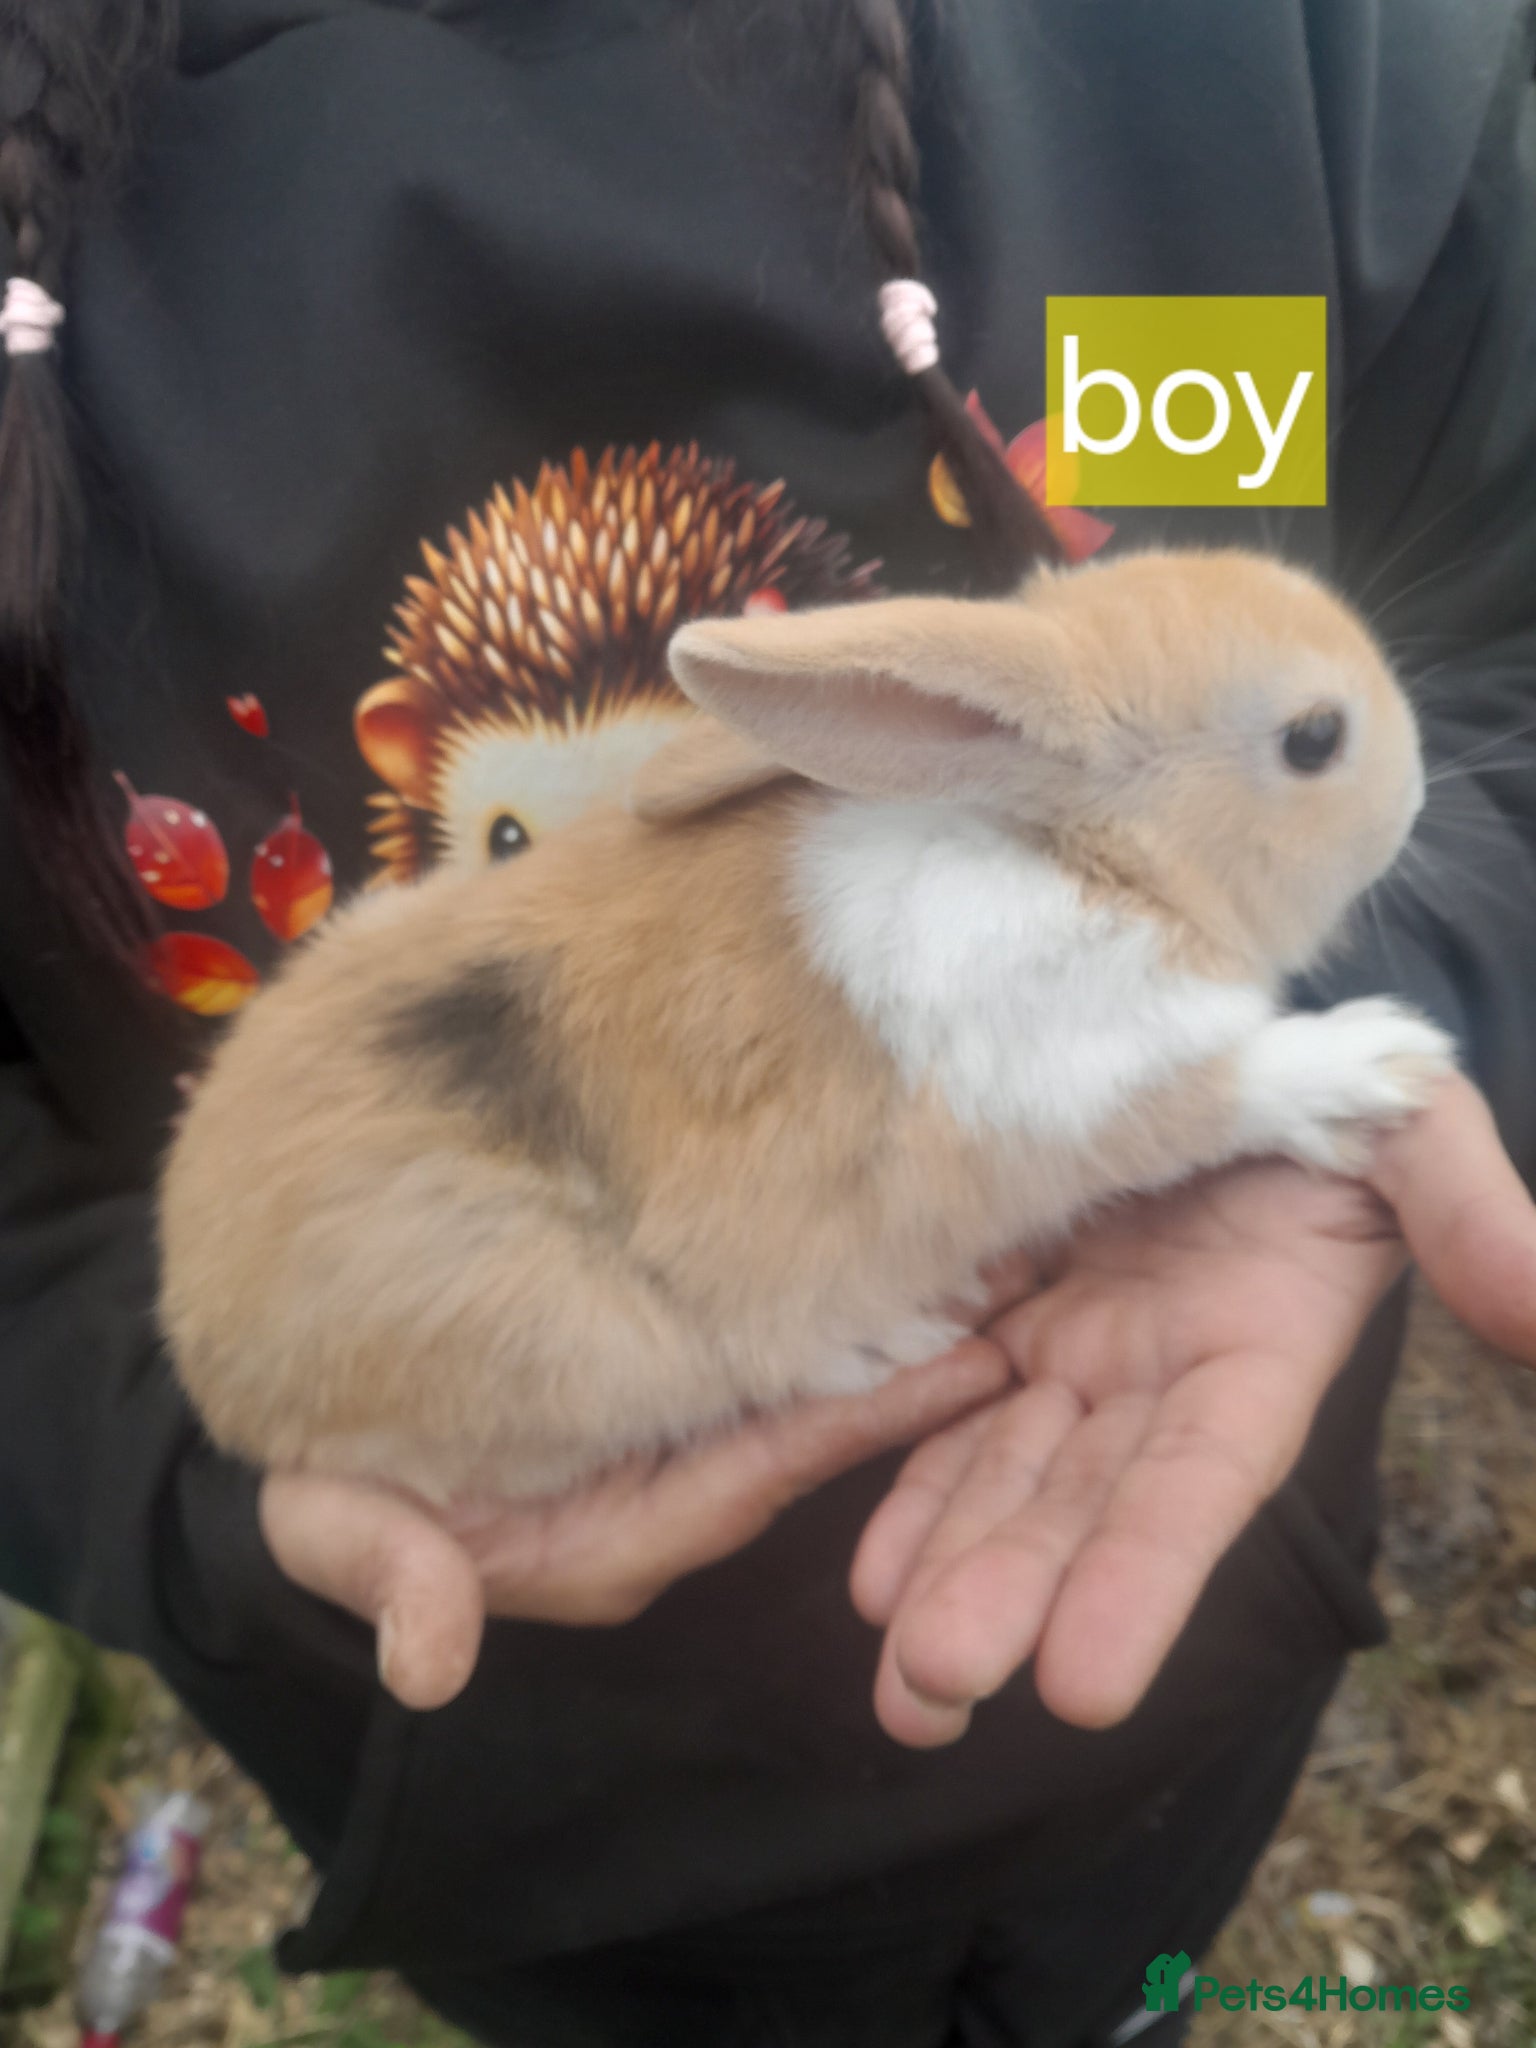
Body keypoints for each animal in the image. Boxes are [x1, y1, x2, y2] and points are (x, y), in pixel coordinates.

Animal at [159, 547, 1453, 1503]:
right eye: (1315, 739)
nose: (1417, 794)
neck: (1071, 851)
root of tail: (208, 1350)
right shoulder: (1090, 1076)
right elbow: (1232, 1084)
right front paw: (1388, 1062)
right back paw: (890, 1341)